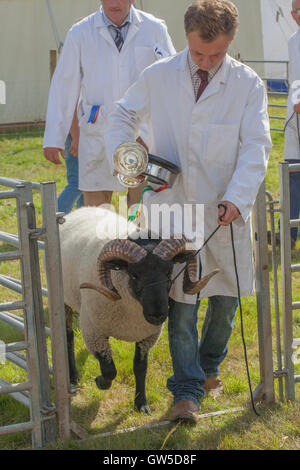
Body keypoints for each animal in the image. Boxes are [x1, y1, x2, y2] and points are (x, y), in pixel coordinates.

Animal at [59, 207, 218, 414]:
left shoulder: (147, 336)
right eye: (134, 275)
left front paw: (141, 403)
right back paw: (72, 376)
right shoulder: (93, 332)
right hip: (64, 300)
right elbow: (109, 369)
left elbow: (140, 368)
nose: (157, 314)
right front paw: (101, 382)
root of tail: (82, 209)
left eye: (169, 272)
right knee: (68, 337)